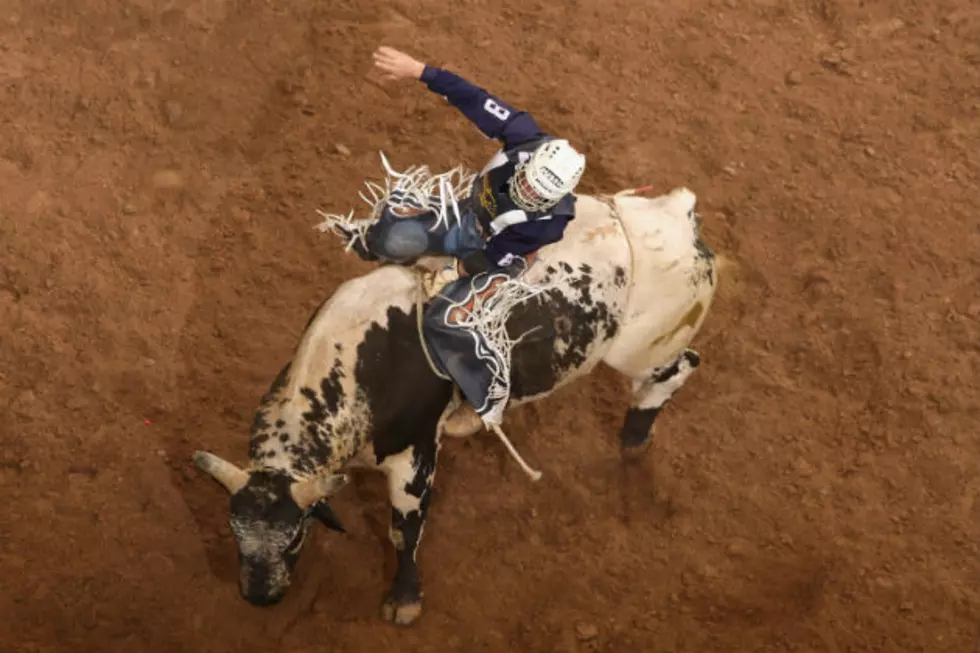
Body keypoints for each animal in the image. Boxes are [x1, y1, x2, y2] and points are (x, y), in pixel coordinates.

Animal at [193, 186, 720, 624]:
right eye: (235, 533)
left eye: (296, 536)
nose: (260, 597)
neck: (368, 363)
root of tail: (674, 212)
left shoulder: (416, 459)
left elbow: (405, 532)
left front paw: (404, 600)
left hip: (642, 350)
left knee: (678, 369)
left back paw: (634, 438)